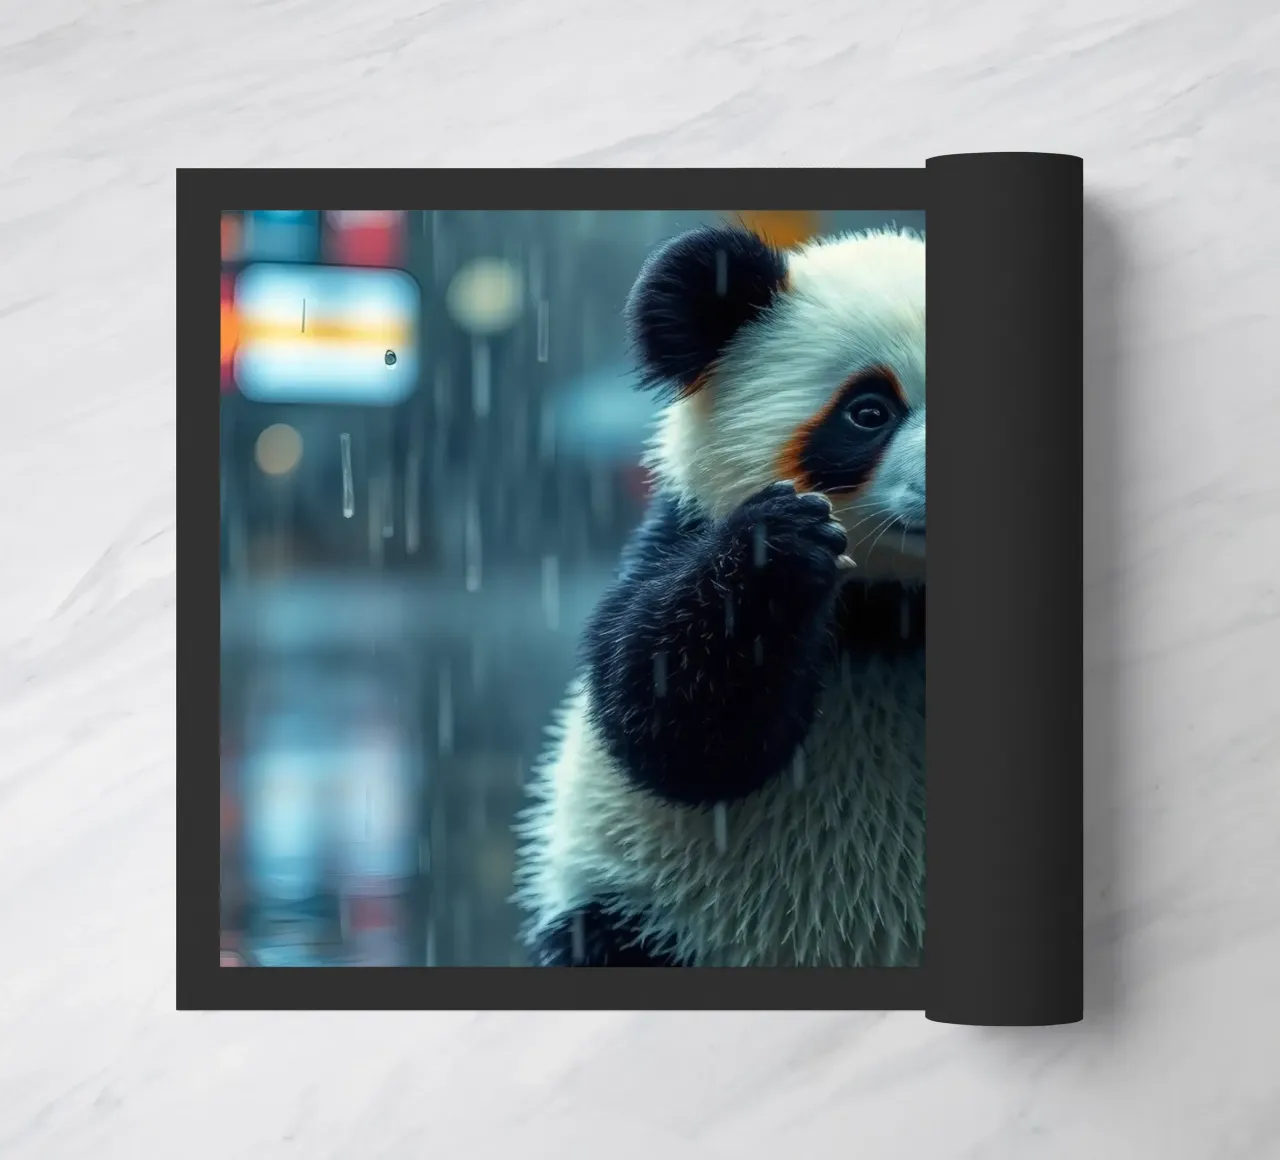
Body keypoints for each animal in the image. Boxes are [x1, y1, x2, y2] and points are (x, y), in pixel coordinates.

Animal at [513, 221, 926, 968]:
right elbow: (668, 718)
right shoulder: (678, 533)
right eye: (869, 412)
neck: (897, 605)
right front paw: (778, 546)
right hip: (648, 915)